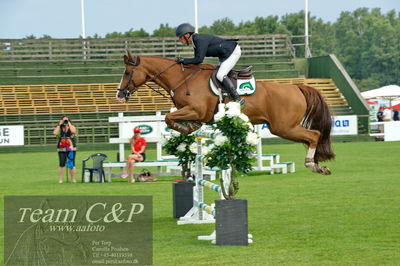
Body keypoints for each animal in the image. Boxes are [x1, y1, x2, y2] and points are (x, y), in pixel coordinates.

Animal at [117, 51, 336, 175]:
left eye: (127, 72)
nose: (119, 94)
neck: (182, 78)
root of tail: (297, 87)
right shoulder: (193, 112)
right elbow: (172, 118)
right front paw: (191, 128)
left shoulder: (196, 110)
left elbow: (169, 118)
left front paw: (185, 129)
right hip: (284, 127)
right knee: (312, 137)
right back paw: (318, 164)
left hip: (283, 127)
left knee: (314, 135)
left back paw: (313, 165)